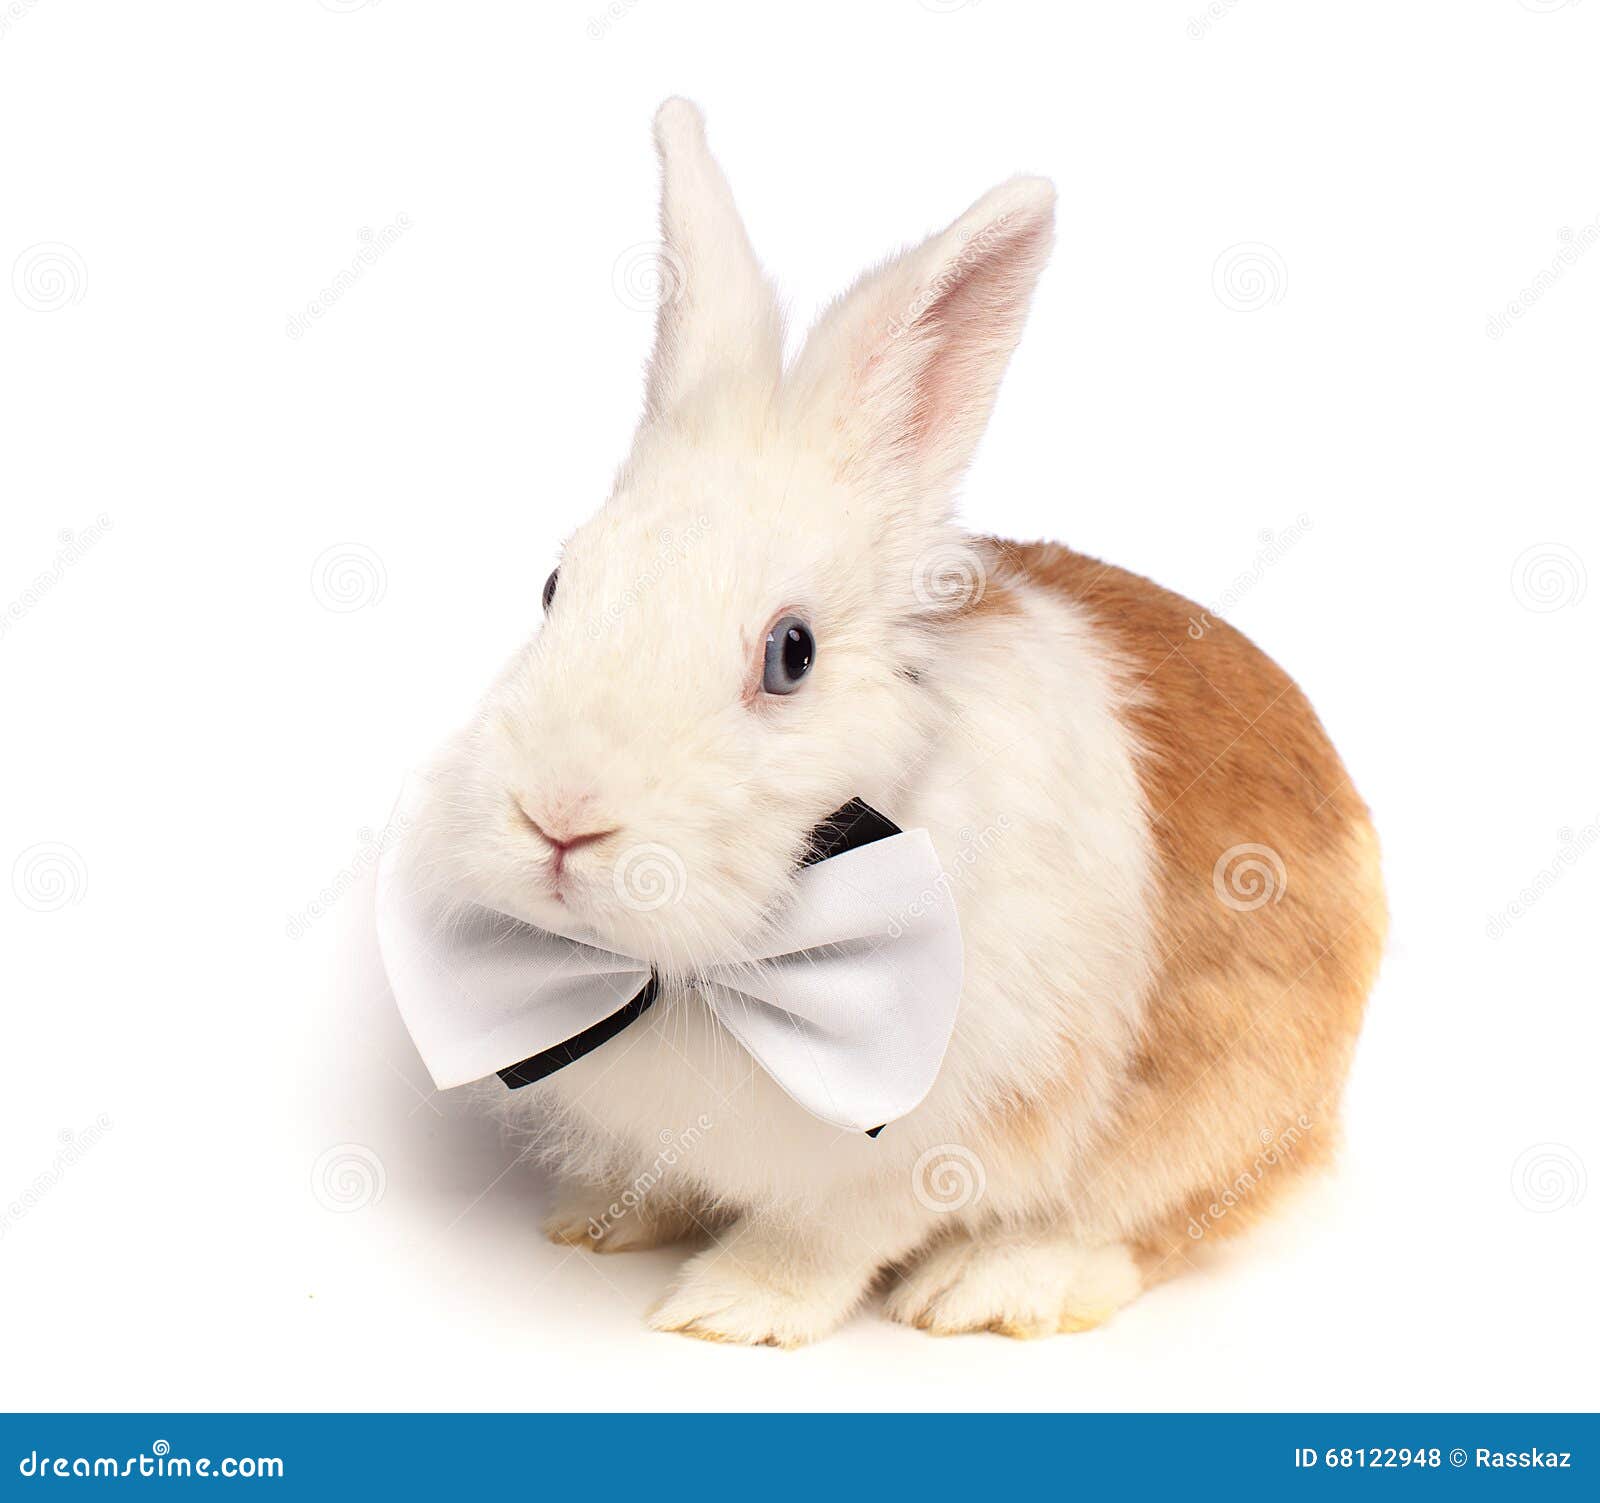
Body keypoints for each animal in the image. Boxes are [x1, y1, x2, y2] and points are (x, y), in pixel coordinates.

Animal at [400, 98, 1387, 1346]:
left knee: (1158, 1220)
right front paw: (602, 1221)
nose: (560, 818)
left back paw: (997, 1286)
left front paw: (729, 1310)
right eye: (553, 588)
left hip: (1228, 1091)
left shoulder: (930, 1133)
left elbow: (827, 1235)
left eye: (791, 655)